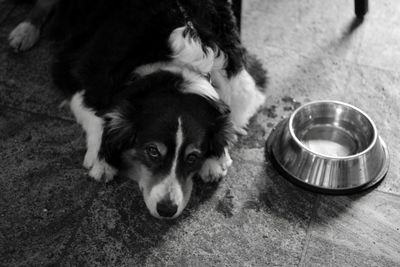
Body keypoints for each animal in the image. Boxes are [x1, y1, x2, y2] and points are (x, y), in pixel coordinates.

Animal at [8, 0, 266, 220]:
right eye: (152, 151)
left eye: (193, 157)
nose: (166, 209)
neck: (174, 64)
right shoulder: (72, 70)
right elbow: (98, 114)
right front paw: (101, 157)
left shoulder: (245, 79)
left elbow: (233, 112)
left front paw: (216, 158)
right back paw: (23, 32)